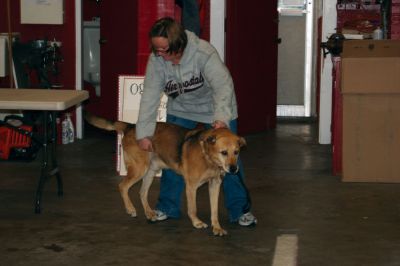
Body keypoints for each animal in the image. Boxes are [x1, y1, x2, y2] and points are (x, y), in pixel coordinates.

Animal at [86, 113, 245, 236]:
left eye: (236, 152)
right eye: (223, 152)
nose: (233, 169)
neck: (207, 156)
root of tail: (131, 126)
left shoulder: (215, 185)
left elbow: (215, 210)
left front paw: (217, 228)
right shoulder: (191, 186)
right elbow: (193, 209)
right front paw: (197, 222)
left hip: (150, 172)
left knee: (142, 192)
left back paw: (150, 213)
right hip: (139, 169)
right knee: (122, 186)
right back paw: (130, 209)